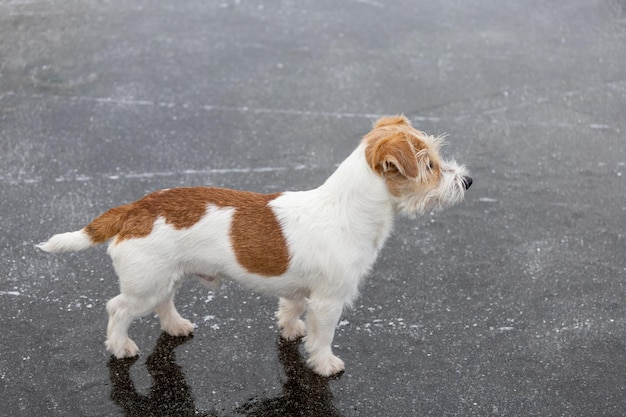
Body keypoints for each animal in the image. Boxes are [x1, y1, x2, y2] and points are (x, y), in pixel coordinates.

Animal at [36, 115, 468, 376]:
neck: (346, 209)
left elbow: (290, 307)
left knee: (164, 303)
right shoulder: (329, 301)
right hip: (144, 285)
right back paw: (121, 345)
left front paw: (290, 330)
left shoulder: (301, 290)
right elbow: (323, 335)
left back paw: (175, 325)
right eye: (429, 165)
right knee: (118, 308)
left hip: (166, 277)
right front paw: (325, 363)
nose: (467, 181)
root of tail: (134, 208)